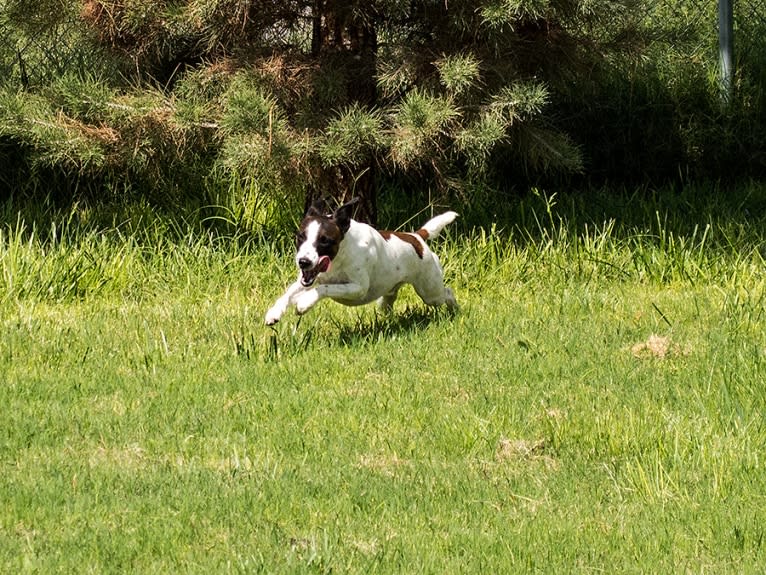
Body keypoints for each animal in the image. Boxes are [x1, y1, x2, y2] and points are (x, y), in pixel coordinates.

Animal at [266, 197, 456, 324]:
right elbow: (288, 293)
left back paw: (454, 310)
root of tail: (417, 237)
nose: (303, 261)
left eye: (325, 240)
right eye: (300, 237)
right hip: (390, 293)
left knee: (446, 293)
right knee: (387, 303)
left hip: (430, 292)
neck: (338, 258)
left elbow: (323, 288)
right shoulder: (307, 279)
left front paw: (304, 303)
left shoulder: (357, 288)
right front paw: (274, 312)